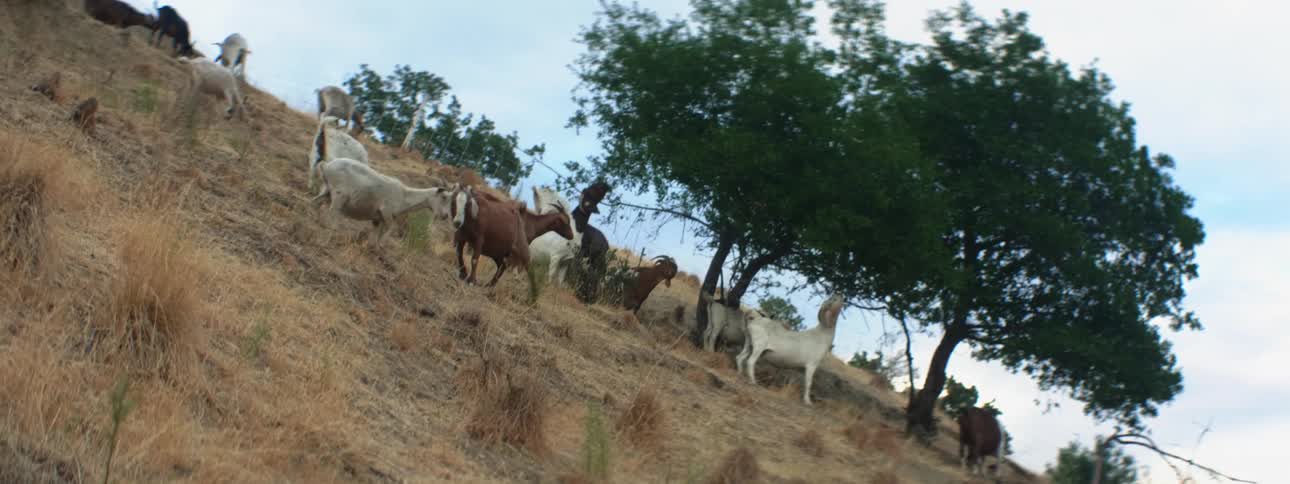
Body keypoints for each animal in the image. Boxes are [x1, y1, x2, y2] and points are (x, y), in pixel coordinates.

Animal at [309, 130, 452, 249]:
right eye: (444, 197)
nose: (445, 216)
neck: (405, 196)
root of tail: (327, 166)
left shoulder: (378, 219)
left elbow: (375, 235)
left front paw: (372, 248)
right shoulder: (386, 212)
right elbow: (388, 231)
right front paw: (381, 246)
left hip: (327, 191)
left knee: (315, 203)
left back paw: (314, 222)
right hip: (339, 195)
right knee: (331, 213)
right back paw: (324, 237)